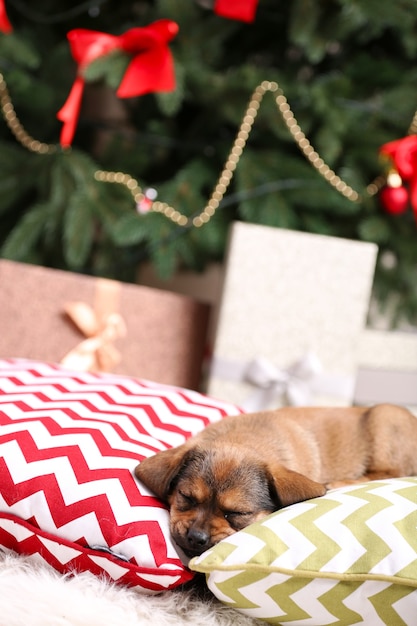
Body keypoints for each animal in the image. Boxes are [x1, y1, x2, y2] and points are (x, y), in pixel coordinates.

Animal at [135, 404, 416, 556]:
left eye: (237, 513)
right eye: (186, 497)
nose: (196, 538)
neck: (243, 439)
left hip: (385, 418)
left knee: (390, 471)